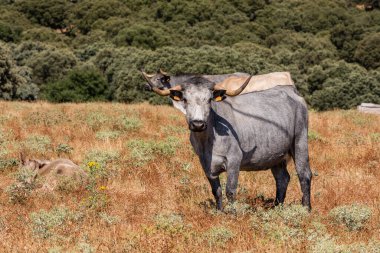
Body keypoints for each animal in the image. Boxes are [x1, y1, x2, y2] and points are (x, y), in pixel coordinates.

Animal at [143, 73, 312, 211]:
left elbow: (230, 190)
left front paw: (232, 214)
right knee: (282, 179)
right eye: (185, 99)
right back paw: (277, 207)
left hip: (300, 142)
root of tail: (290, 90)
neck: (208, 141)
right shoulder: (206, 164)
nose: (198, 124)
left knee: (304, 175)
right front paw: (220, 212)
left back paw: (306, 209)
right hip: (276, 155)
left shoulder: (234, 160)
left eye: (209, 100)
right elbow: (216, 191)